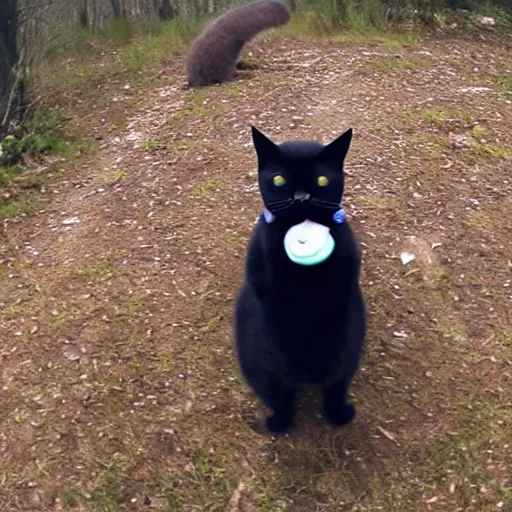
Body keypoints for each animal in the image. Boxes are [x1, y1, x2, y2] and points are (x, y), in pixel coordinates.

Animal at [234, 126, 366, 434]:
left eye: (321, 180)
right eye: (279, 179)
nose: (302, 197)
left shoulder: (343, 284)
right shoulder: (269, 282)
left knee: (334, 387)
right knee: (278, 397)